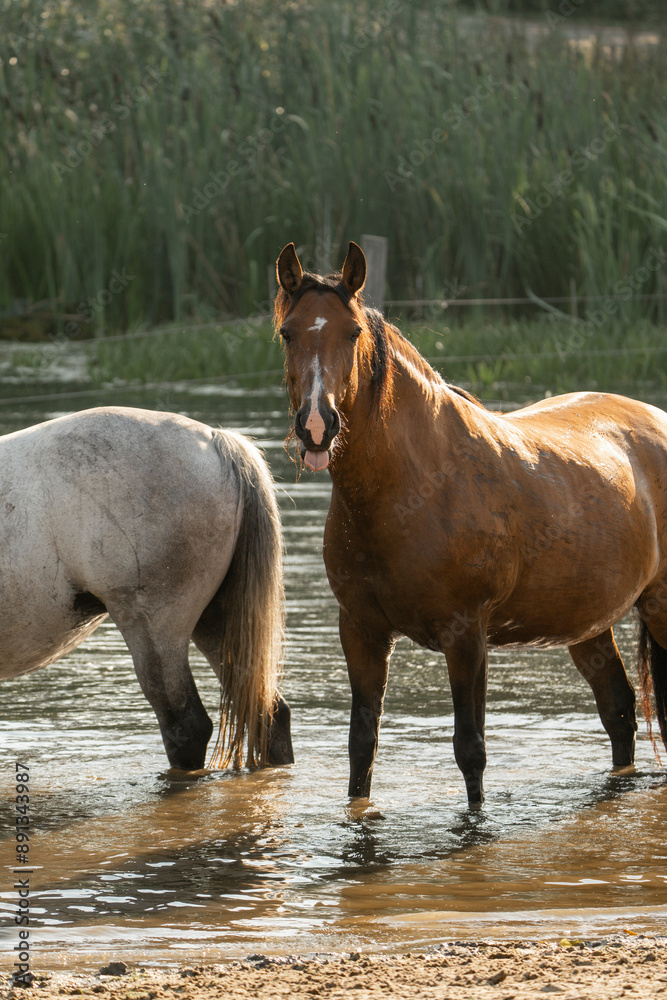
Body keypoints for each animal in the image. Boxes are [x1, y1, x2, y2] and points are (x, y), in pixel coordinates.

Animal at [274, 240, 667, 809]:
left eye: (352, 333)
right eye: (288, 332)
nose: (316, 426)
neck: (411, 489)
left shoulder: (466, 635)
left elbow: (470, 749)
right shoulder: (361, 630)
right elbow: (362, 745)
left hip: (658, 605)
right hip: (588, 624)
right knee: (617, 709)